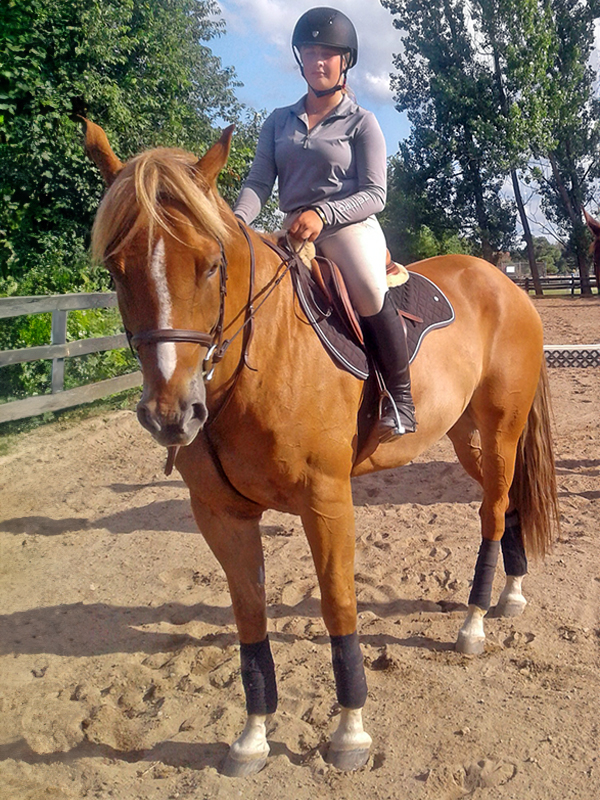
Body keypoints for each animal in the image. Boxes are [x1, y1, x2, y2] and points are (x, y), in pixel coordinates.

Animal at [83, 120, 559, 776]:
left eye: (210, 264)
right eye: (116, 266)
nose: (171, 415)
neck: (255, 364)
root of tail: (504, 282)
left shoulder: (327, 501)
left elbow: (338, 606)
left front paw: (349, 732)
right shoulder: (220, 516)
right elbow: (249, 619)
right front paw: (252, 737)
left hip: (500, 428)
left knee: (491, 514)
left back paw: (474, 623)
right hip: (472, 439)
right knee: (506, 501)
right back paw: (509, 596)